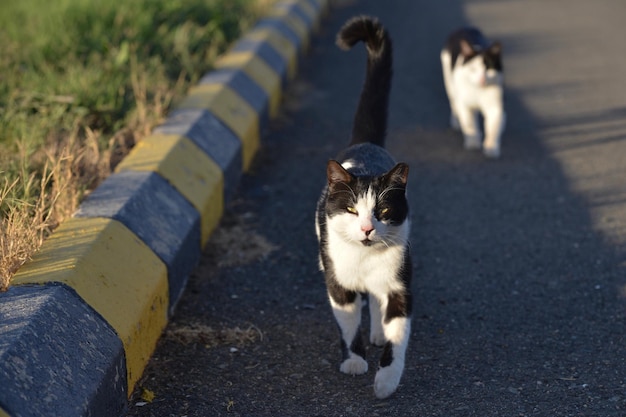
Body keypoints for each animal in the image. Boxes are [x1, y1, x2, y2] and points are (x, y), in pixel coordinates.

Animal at [314, 17, 412, 400]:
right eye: (353, 211)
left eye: (383, 212)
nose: (368, 229)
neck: (366, 259)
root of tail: (365, 143)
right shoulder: (338, 282)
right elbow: (347, 322)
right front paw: (354, 360)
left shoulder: (400, 284)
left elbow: (398, 335)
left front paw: (386, 381)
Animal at [436, 27, 504, 158]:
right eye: (473, 69)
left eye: (489, 69)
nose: (482, 79)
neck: (477, 90)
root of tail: (463, 29)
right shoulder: (465, 105)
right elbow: (469, 124)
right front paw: (473, 142)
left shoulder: (494, 106)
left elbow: (492, 127)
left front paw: (491, 148)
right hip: (450, 83)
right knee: (454, 104)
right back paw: (456, 121)